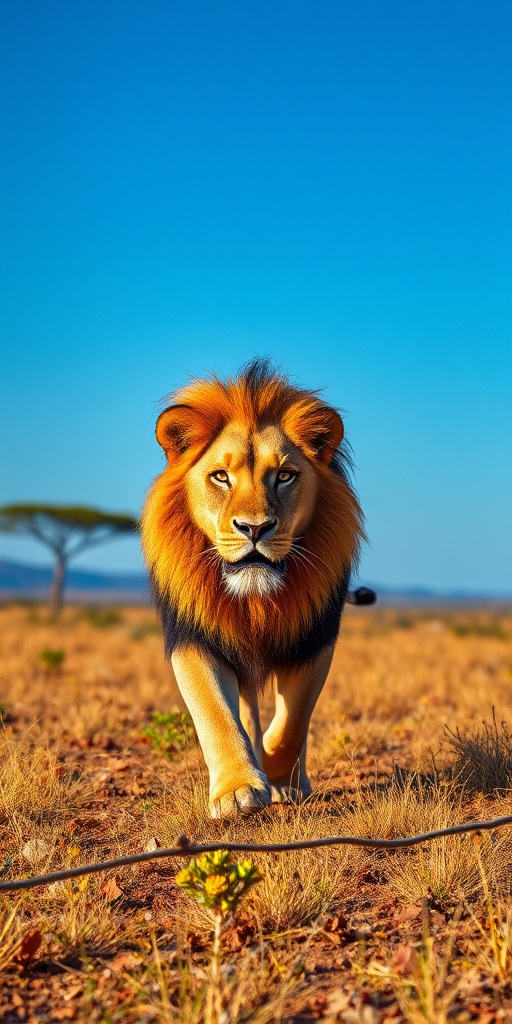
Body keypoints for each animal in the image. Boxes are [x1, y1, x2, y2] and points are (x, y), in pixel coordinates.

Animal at [142, 359, 365, 818]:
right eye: (220, 477)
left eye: (285, 475)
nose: (255, 528)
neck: (254, 599)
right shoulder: (194, 638)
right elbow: (215, 715)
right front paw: (237, 789)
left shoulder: (314, 638)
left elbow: (291, 725)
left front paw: (281, 779)